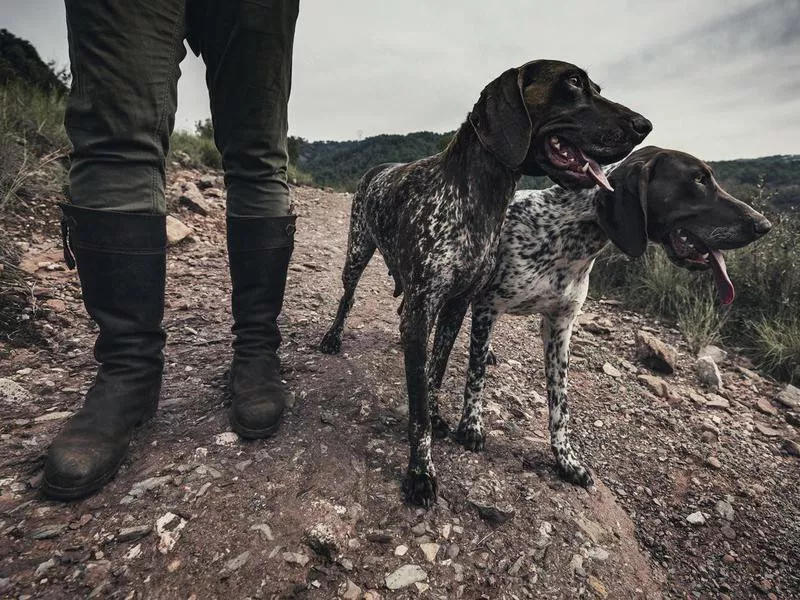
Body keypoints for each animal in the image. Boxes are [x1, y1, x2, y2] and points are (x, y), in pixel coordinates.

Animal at [318, 59, 648, 506]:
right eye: (574, 82)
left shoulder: (456, 306)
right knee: (347, 299)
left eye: (596, 86)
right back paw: (333, 337)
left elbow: (435, 374)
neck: (478, 198)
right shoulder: (427, 308)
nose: (645, 125)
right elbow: (419, 408)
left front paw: (437, 415)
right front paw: (421, 471)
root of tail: (376, 171)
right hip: (356, 253)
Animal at [454, 146, 772, 488]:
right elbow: (475, 378)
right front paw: (471, 426)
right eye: (698, 179)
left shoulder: (560, 327)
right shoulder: (487, 307)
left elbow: (560, 404)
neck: (569, 236)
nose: (764, 225)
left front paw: (565, 460)